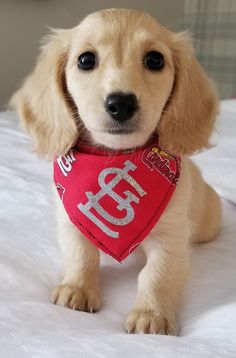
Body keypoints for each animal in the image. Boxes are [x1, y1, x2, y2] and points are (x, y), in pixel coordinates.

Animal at [11, 9, 221, 336]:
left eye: (155, 60)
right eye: (86, 60)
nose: (121, 103)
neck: (115, 158)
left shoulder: (171, 236)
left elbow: (157, 275)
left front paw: (151, 313)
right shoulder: (70, 219)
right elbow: (80, 254)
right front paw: (77, 287)